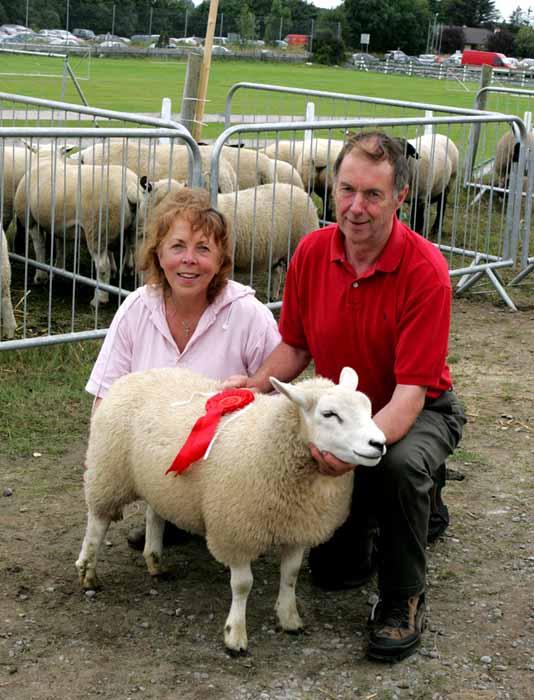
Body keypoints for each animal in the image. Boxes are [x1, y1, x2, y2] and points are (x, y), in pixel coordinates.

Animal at [14, 164, 147, 308]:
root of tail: (131, 187)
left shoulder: (30, 220)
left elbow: (39, 247)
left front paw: (40, 276)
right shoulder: (60, 226)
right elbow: (61, 247)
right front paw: (58, 270)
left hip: (97, 229)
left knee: (103, 267)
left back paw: (99, 299)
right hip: (137, 230)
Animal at [76, 366, 386, 656]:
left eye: (368, 408)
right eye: (329, 414)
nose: (379, 444)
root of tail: (136, 374)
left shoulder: (298, 527)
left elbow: (291, 574)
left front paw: (289, 618)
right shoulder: (235, 531)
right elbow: (243, 585)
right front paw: (235, 635)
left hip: (156, 481)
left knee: (154, 514)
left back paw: (155, 562)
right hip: (109, 471)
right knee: (97, 522)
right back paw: (88, 572)